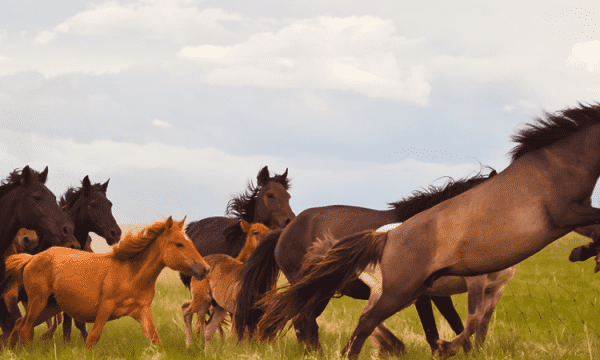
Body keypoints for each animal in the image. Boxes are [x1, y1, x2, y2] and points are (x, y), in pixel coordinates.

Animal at [5, 217, 209, 348]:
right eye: (179, 244)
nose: (205, 269)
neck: (131, 275)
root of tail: (31, 258)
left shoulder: (142, 311)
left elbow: (156, 340)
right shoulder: (105, 308)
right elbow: (92, 338)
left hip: (50, 307)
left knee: (20, 324)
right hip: (38, 302)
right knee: (25, 328)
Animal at [234, 167, 496, 356]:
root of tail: (284, 230)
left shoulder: (434, 294)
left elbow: (454, 324)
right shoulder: (423, 294)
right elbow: (439, 329)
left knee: (304, 322)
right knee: (304, 320)